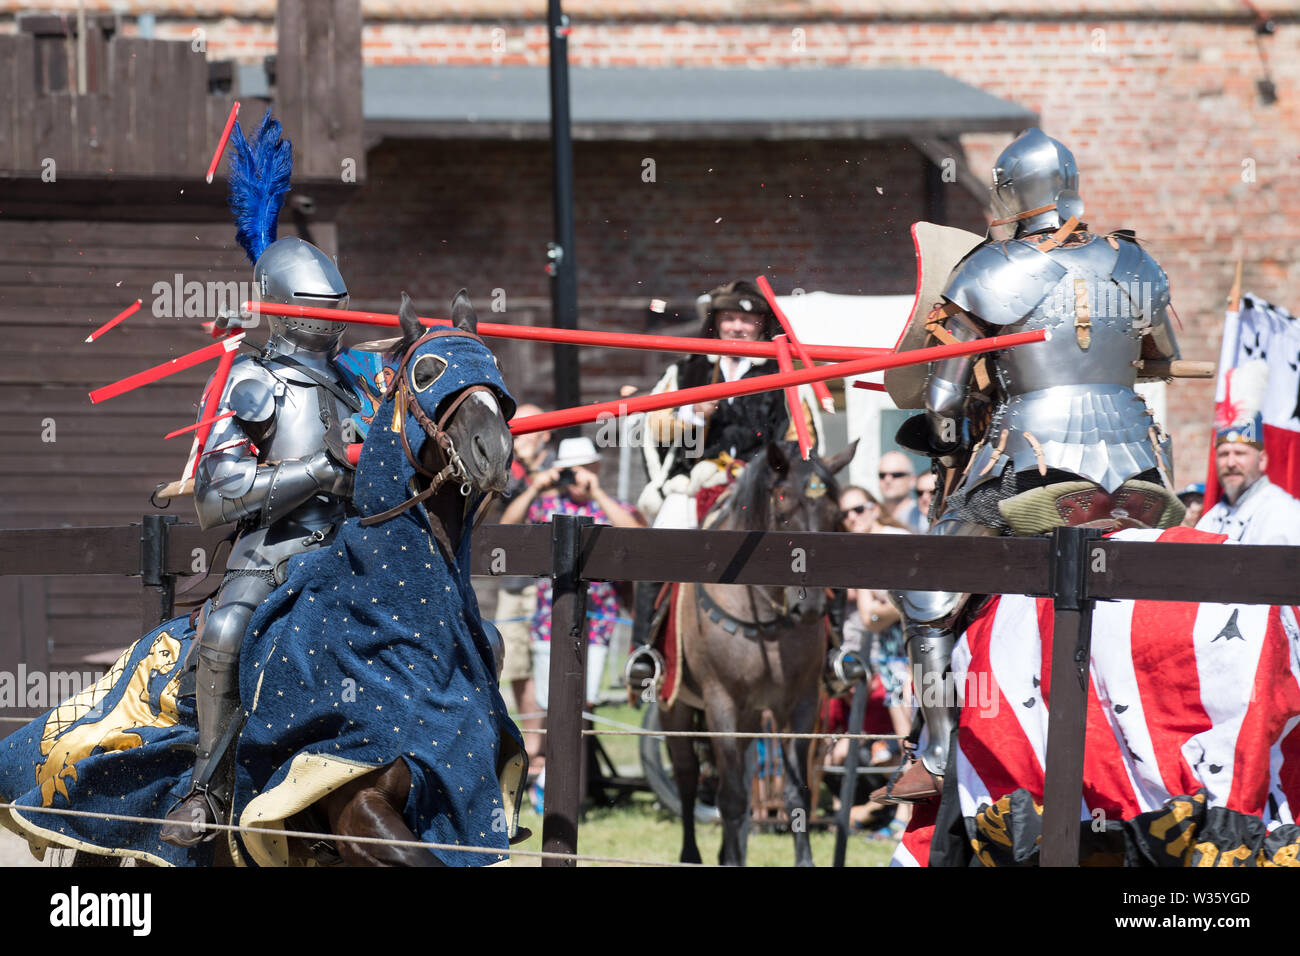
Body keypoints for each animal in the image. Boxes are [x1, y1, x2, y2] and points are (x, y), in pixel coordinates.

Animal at [1, 291, 527, 868]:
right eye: (427, 371)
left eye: (495, 371)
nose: (493, 451)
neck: (400, 626)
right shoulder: (350, 800)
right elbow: (223, 487)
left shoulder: (455, 807)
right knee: (224, 636)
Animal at [660, 442, 852, 868]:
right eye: (783, 510)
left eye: (836, 517)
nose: (810, 607)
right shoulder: (721, 704)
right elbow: (730, 797)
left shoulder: (800, 705)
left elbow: (796, 793)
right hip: (676, 706)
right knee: (686, 775)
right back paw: (691, 854)